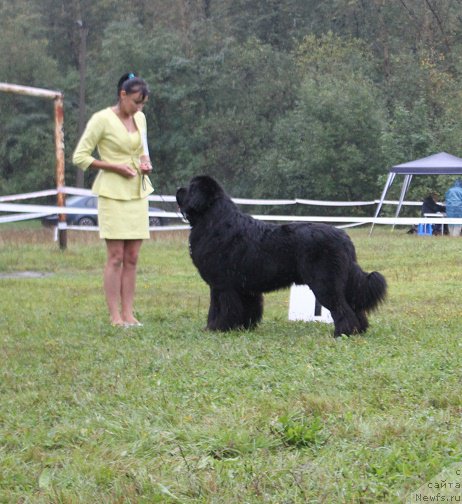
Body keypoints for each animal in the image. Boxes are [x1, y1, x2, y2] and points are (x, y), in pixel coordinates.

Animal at [177, 175, 386, 336]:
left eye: (191, 188)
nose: (178, 189)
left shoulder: (222, 284)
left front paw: (215, 328)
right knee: (355, 306)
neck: (213, 220)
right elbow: (247, 308)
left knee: (342, 308)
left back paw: (343, 333)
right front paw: (243, 327)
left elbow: (219, 308)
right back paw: (359, 330)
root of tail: (344, 237)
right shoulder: (244, 287)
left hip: (325, 282)